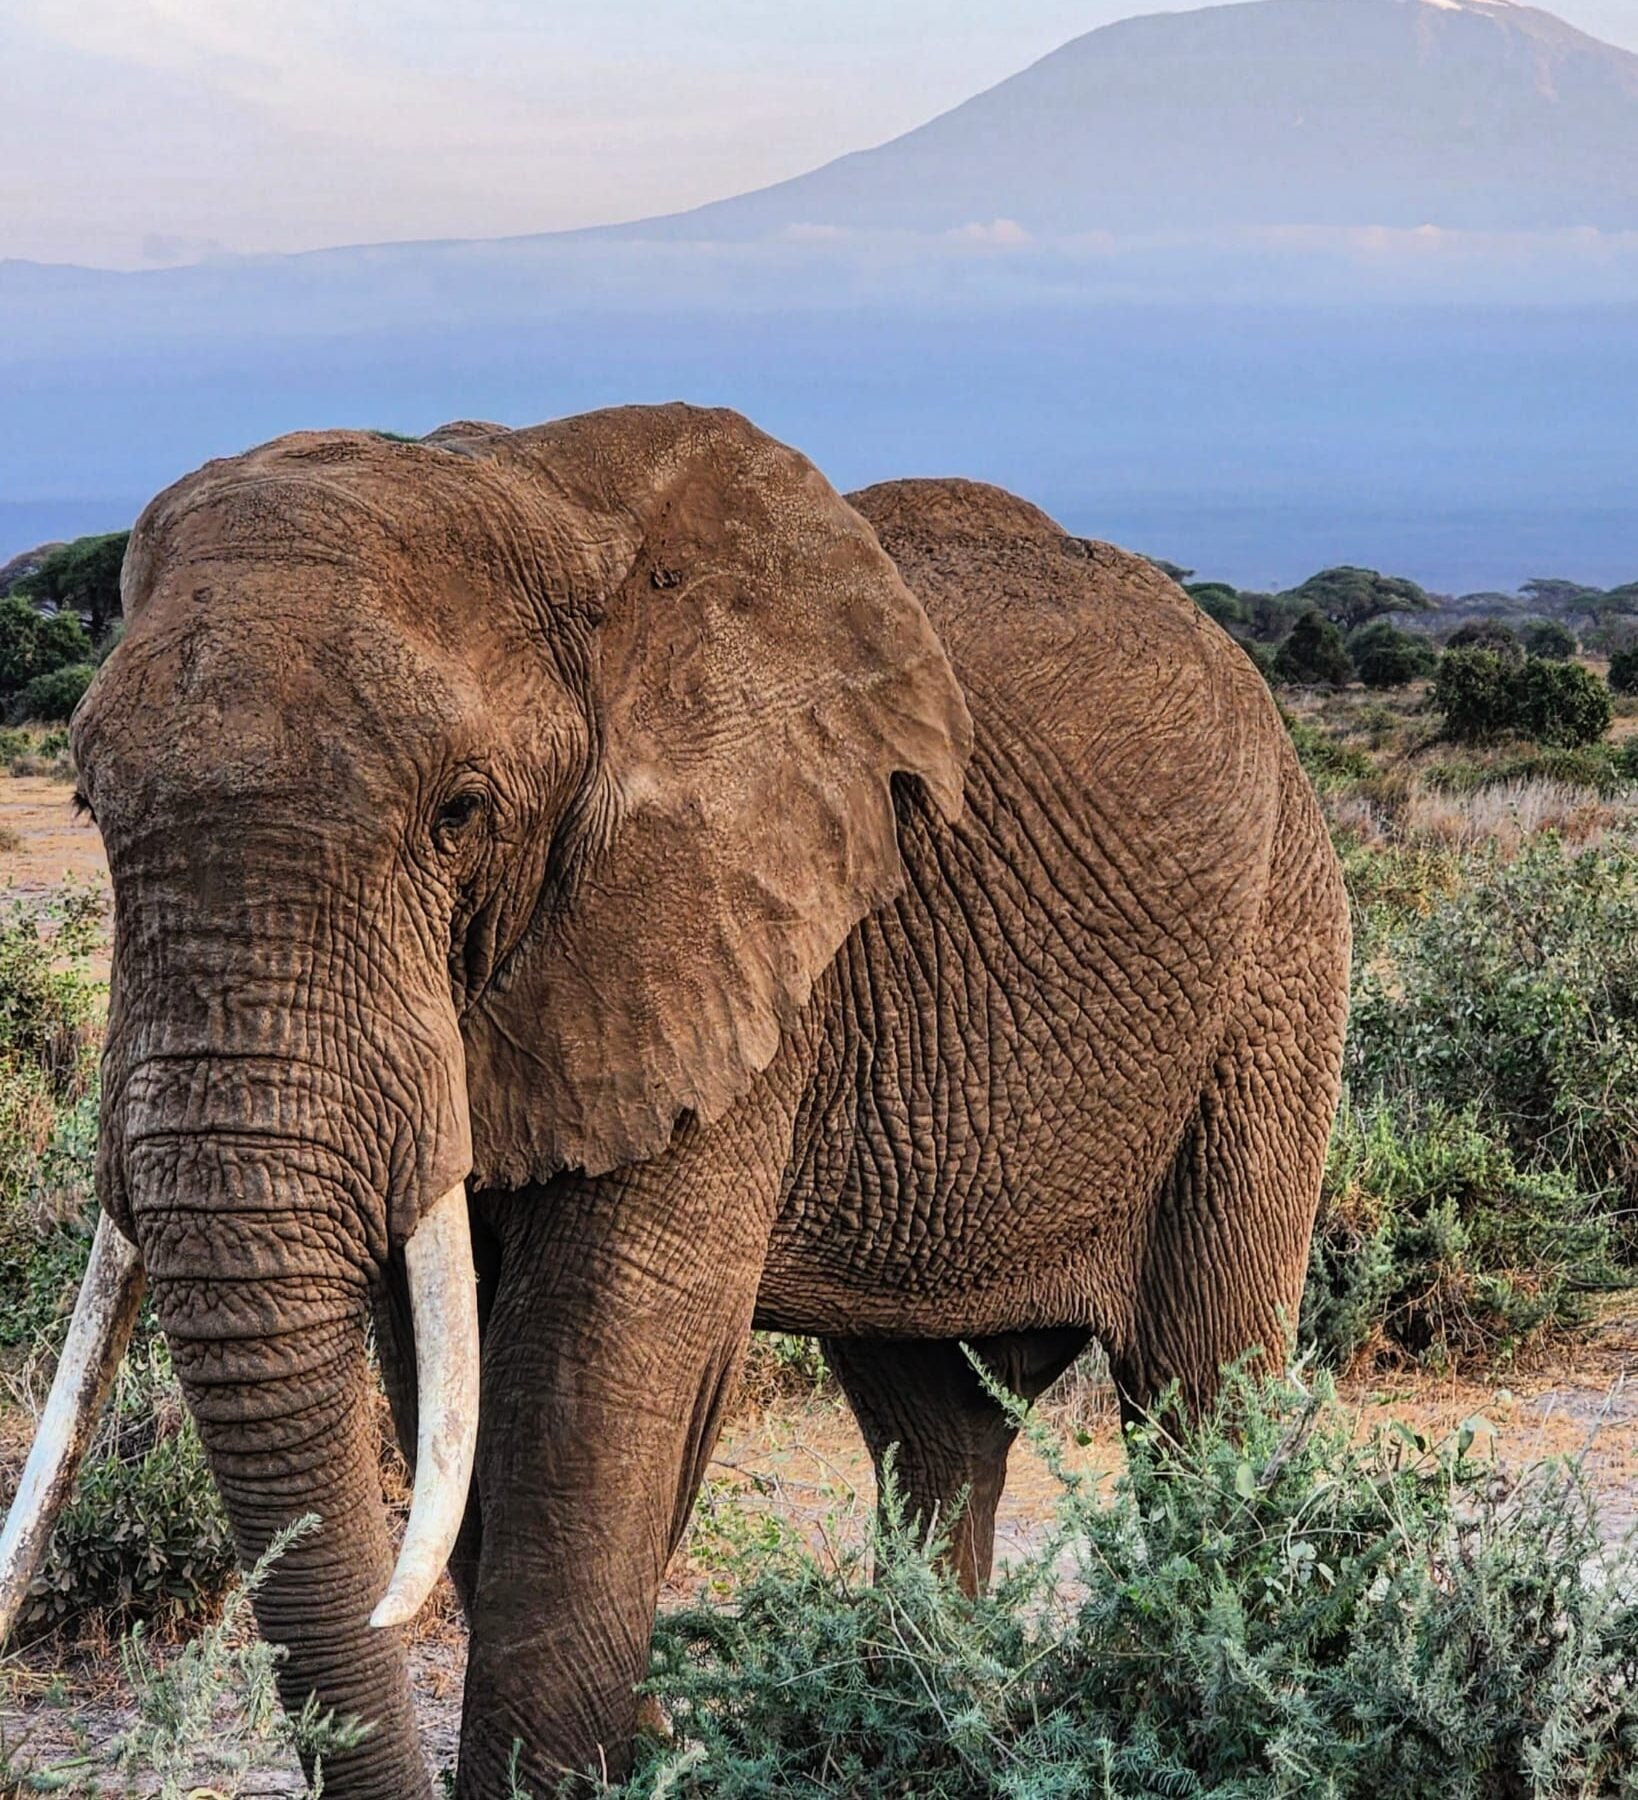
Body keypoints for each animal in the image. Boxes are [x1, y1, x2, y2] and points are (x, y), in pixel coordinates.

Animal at [0, 405, 1349, 1797]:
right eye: (89, 805)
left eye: (459, 813)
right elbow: (440, 1378)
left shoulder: (726, 937)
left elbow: (591, 1382)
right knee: (936, 1431)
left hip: (1275, 975)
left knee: (1199, 1388)